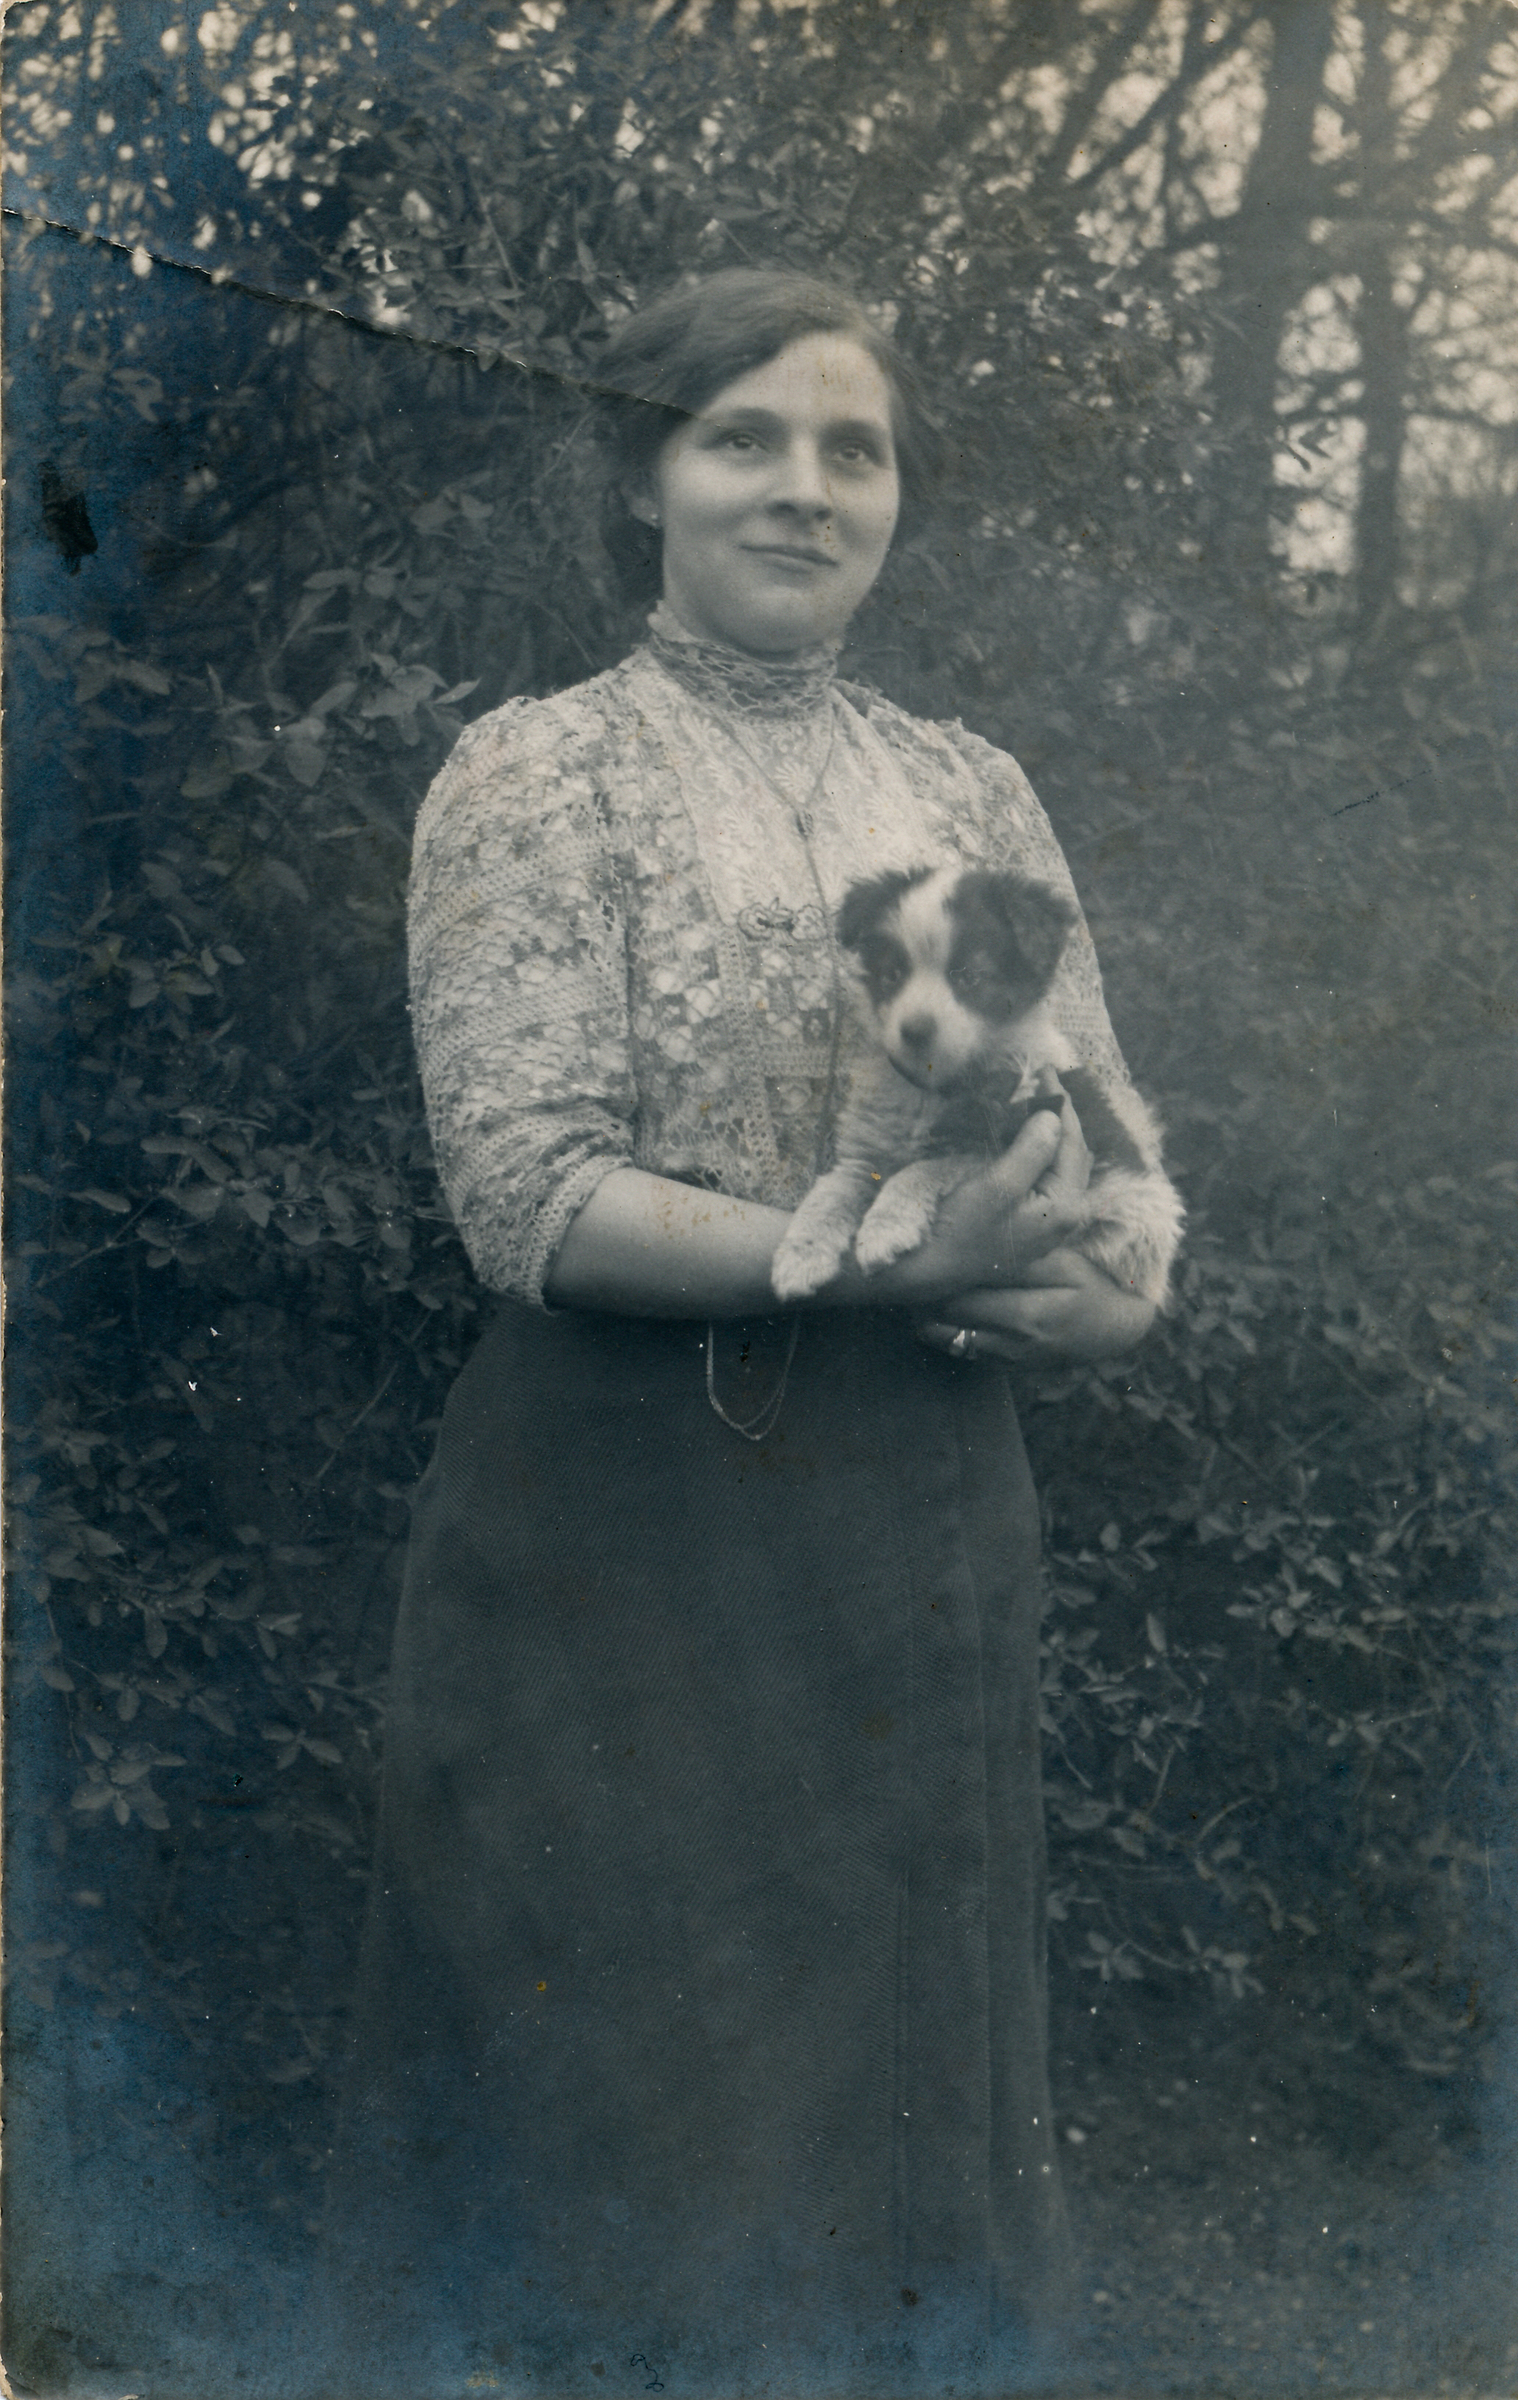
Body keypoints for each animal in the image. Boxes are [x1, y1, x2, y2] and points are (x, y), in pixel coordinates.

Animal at [770, 864, 1181, 1305]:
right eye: (892, 975)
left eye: (969, 977)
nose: (914, 1032)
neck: (932, 1088)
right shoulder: (868, 1150)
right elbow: (833, 1189)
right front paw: (801, 1254)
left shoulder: (1003, 1133)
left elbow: (926, 1166)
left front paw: (886, 1226)